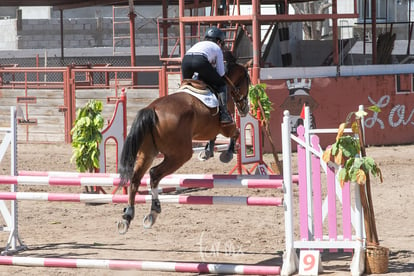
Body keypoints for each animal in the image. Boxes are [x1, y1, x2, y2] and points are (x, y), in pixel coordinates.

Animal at [116, 53, 251, 233]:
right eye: (248, 81)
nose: (245, 109)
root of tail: (152, 110)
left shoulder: (210, 129)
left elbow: (213, 137)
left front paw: (207, 152)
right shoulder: (225, 126)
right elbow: (235, 133)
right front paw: (226, 154)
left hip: (148, 153)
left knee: (136, 178)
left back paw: (127, 216)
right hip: (180, 154)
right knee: (154, 174)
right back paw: (153, 211)